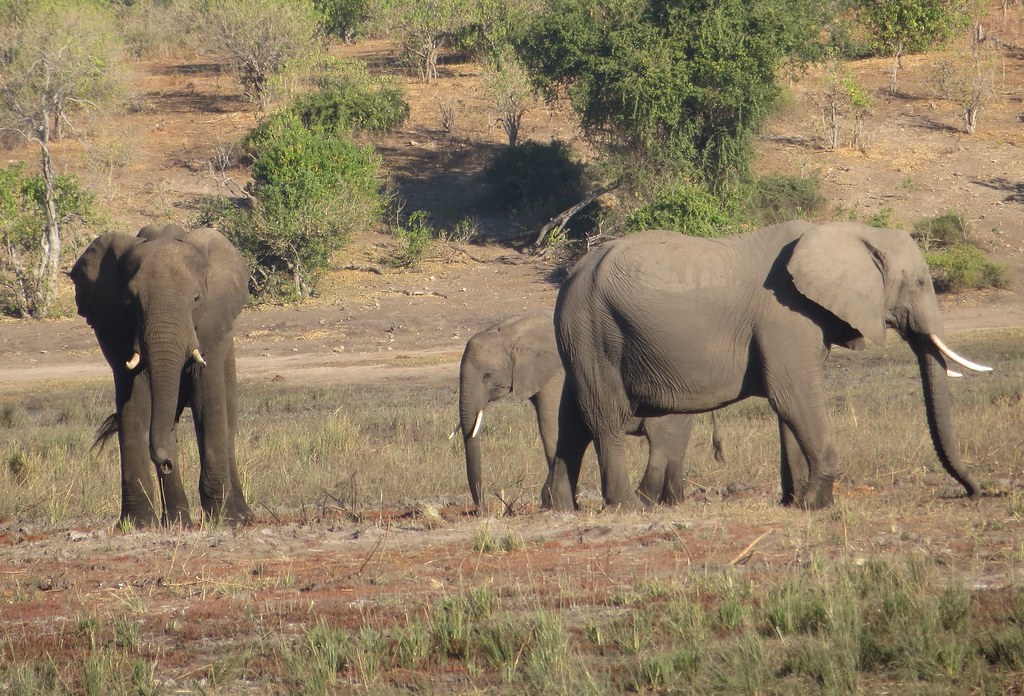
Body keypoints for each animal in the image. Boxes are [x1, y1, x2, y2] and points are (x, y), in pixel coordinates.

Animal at [70, 223, 253, 528]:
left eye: (196, 299)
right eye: (130, 300)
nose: (165, 463)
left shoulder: (211, 328)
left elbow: (209, 404)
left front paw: (224, 520)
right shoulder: (115, 329)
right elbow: (134, 406)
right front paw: (137, 524)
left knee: (228, 424)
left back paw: (241, 517)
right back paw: (179, 522)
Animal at [452, 313, 724, 513]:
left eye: (487, 376)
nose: (483, 511)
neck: (513, 331)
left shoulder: (554, 377)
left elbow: (550, 428)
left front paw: (556, 502)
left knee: (662, 441)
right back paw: (672, 501)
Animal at [544, 223, 991, 511]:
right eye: (920, 283)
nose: (975, 492)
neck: (852, 231)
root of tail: (574, 273)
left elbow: (789, 409)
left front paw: (795, 503)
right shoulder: (785, 315)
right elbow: (793, 395)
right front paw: (817, 505)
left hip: (581, 334)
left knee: (574, 420)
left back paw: (561, 508)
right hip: (593, 329)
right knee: (604, 417)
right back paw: (625, 508)